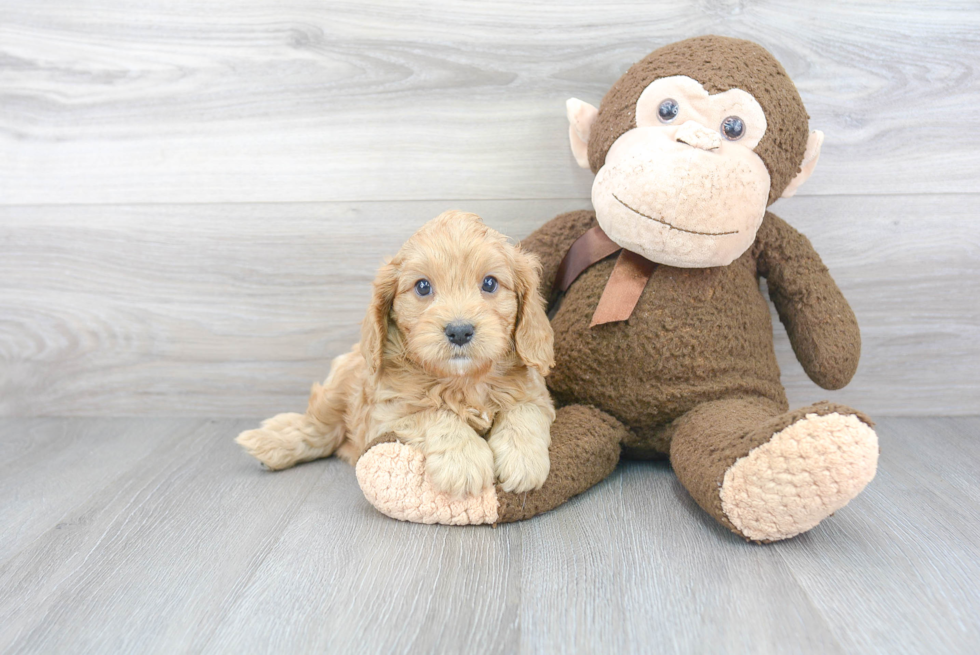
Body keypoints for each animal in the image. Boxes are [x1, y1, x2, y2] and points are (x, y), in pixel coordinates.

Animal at [236, 211, 556, 498]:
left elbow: (524, 411)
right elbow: (432, 413)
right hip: (340, 386)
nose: (460, 331)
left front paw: (523, 459)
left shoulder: (537, 394)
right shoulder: (386, 413)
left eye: (489, 283)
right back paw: (269, 443)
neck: (463, 380)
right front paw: (463, 460)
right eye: (423, 286)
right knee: (320, 428)